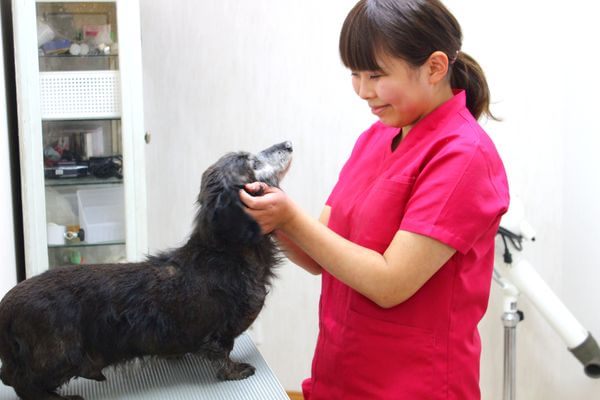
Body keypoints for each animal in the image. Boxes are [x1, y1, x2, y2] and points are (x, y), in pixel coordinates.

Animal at [0, 141, 292, 400]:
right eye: (250, 161)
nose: (288, 144)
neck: (225, 252)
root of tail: (6, 307)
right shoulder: (222, 333)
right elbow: (223, 354)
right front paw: (234, 370)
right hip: (60, 355)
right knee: (22, 383)